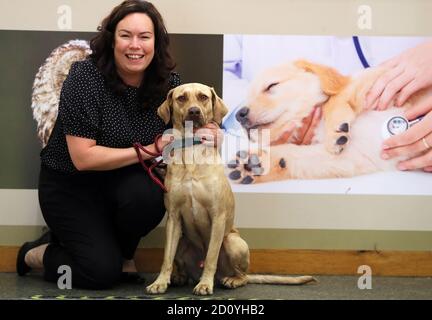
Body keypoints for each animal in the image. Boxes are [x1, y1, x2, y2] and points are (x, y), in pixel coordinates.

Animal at [145, 83, 314, 296]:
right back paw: (179, 277)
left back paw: (229, 280)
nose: (194, 111)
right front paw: (160, 282)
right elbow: (166, 258)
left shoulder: (218, 216)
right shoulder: (174, 217)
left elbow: (211, 256)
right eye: (181, 98)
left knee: (241, 275)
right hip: (182, 240)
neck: (192, 151)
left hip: (233, 242)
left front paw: (205, 284)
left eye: (203, 97)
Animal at [226, 60, 432, 184]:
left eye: (271, 86)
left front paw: (336, 130)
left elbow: (337, 97)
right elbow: (292, 153)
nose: (239, 115)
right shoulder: (352, 157)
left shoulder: (380, 82)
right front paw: (253, 164)